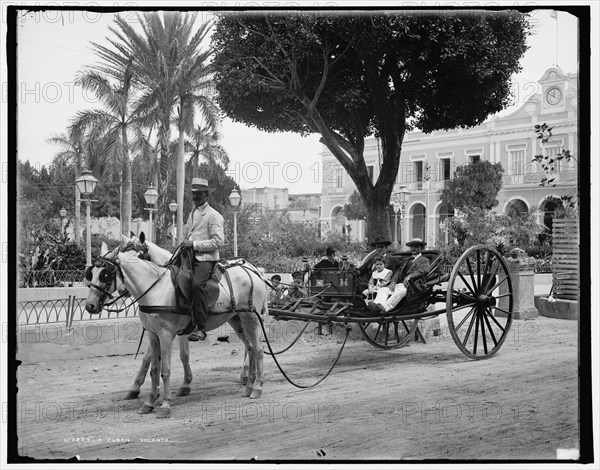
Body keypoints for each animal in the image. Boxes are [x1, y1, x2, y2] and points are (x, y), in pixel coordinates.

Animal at [85, 235, 270, 418]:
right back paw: (248, 384)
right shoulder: (153, 335)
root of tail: (254, 272)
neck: (156, 289)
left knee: (258, 349)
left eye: (105, 275)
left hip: (250, 318)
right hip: (237, 319)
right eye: (91, 273)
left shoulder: (166, 335)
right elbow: (154, 367)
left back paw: (257, 386)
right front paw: (149, 401)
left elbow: (166, 369)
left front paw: (166, 404)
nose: (90, 305)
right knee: (250, 348)